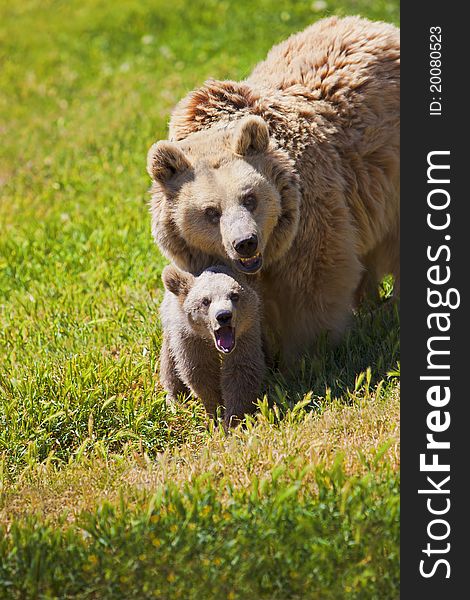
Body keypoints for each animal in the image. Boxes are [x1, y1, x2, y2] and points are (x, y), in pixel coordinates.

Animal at [146, 16, 396, 364]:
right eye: (211, 212)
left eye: (250, 198)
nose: (245, 243)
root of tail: (375, 25)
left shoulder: (308, 218)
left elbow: (313, 285)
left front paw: (304, 357)